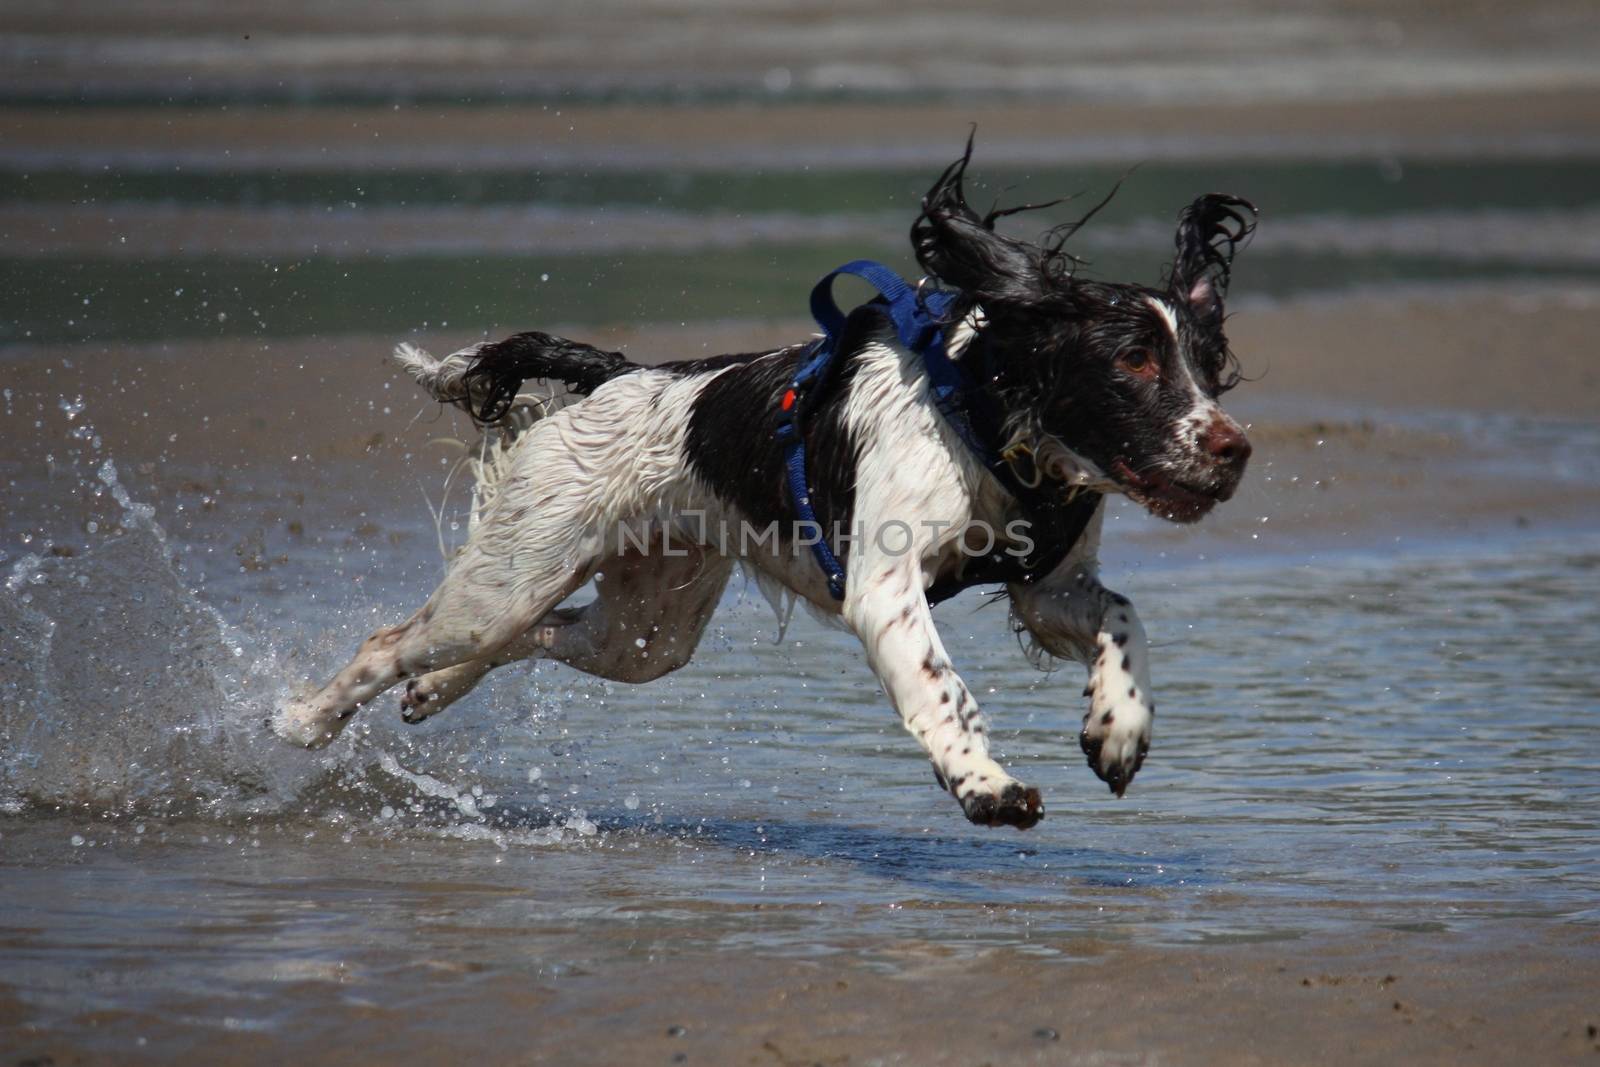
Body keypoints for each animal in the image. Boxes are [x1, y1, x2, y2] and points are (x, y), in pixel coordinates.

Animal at [275, 141, 1254, 831]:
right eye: (1134, 362)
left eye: (1209, 365)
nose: (1234, 447)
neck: (988, 416)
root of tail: (620, 374)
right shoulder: (885, 587)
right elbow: (942, 687)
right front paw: (985, 784)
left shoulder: (1049, 587)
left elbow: (1123, 617)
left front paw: (1118, 726)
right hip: (518, 571)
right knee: (395, 638)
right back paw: (305, 719)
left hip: (647, 628)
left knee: (537, 636)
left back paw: (433, 691)